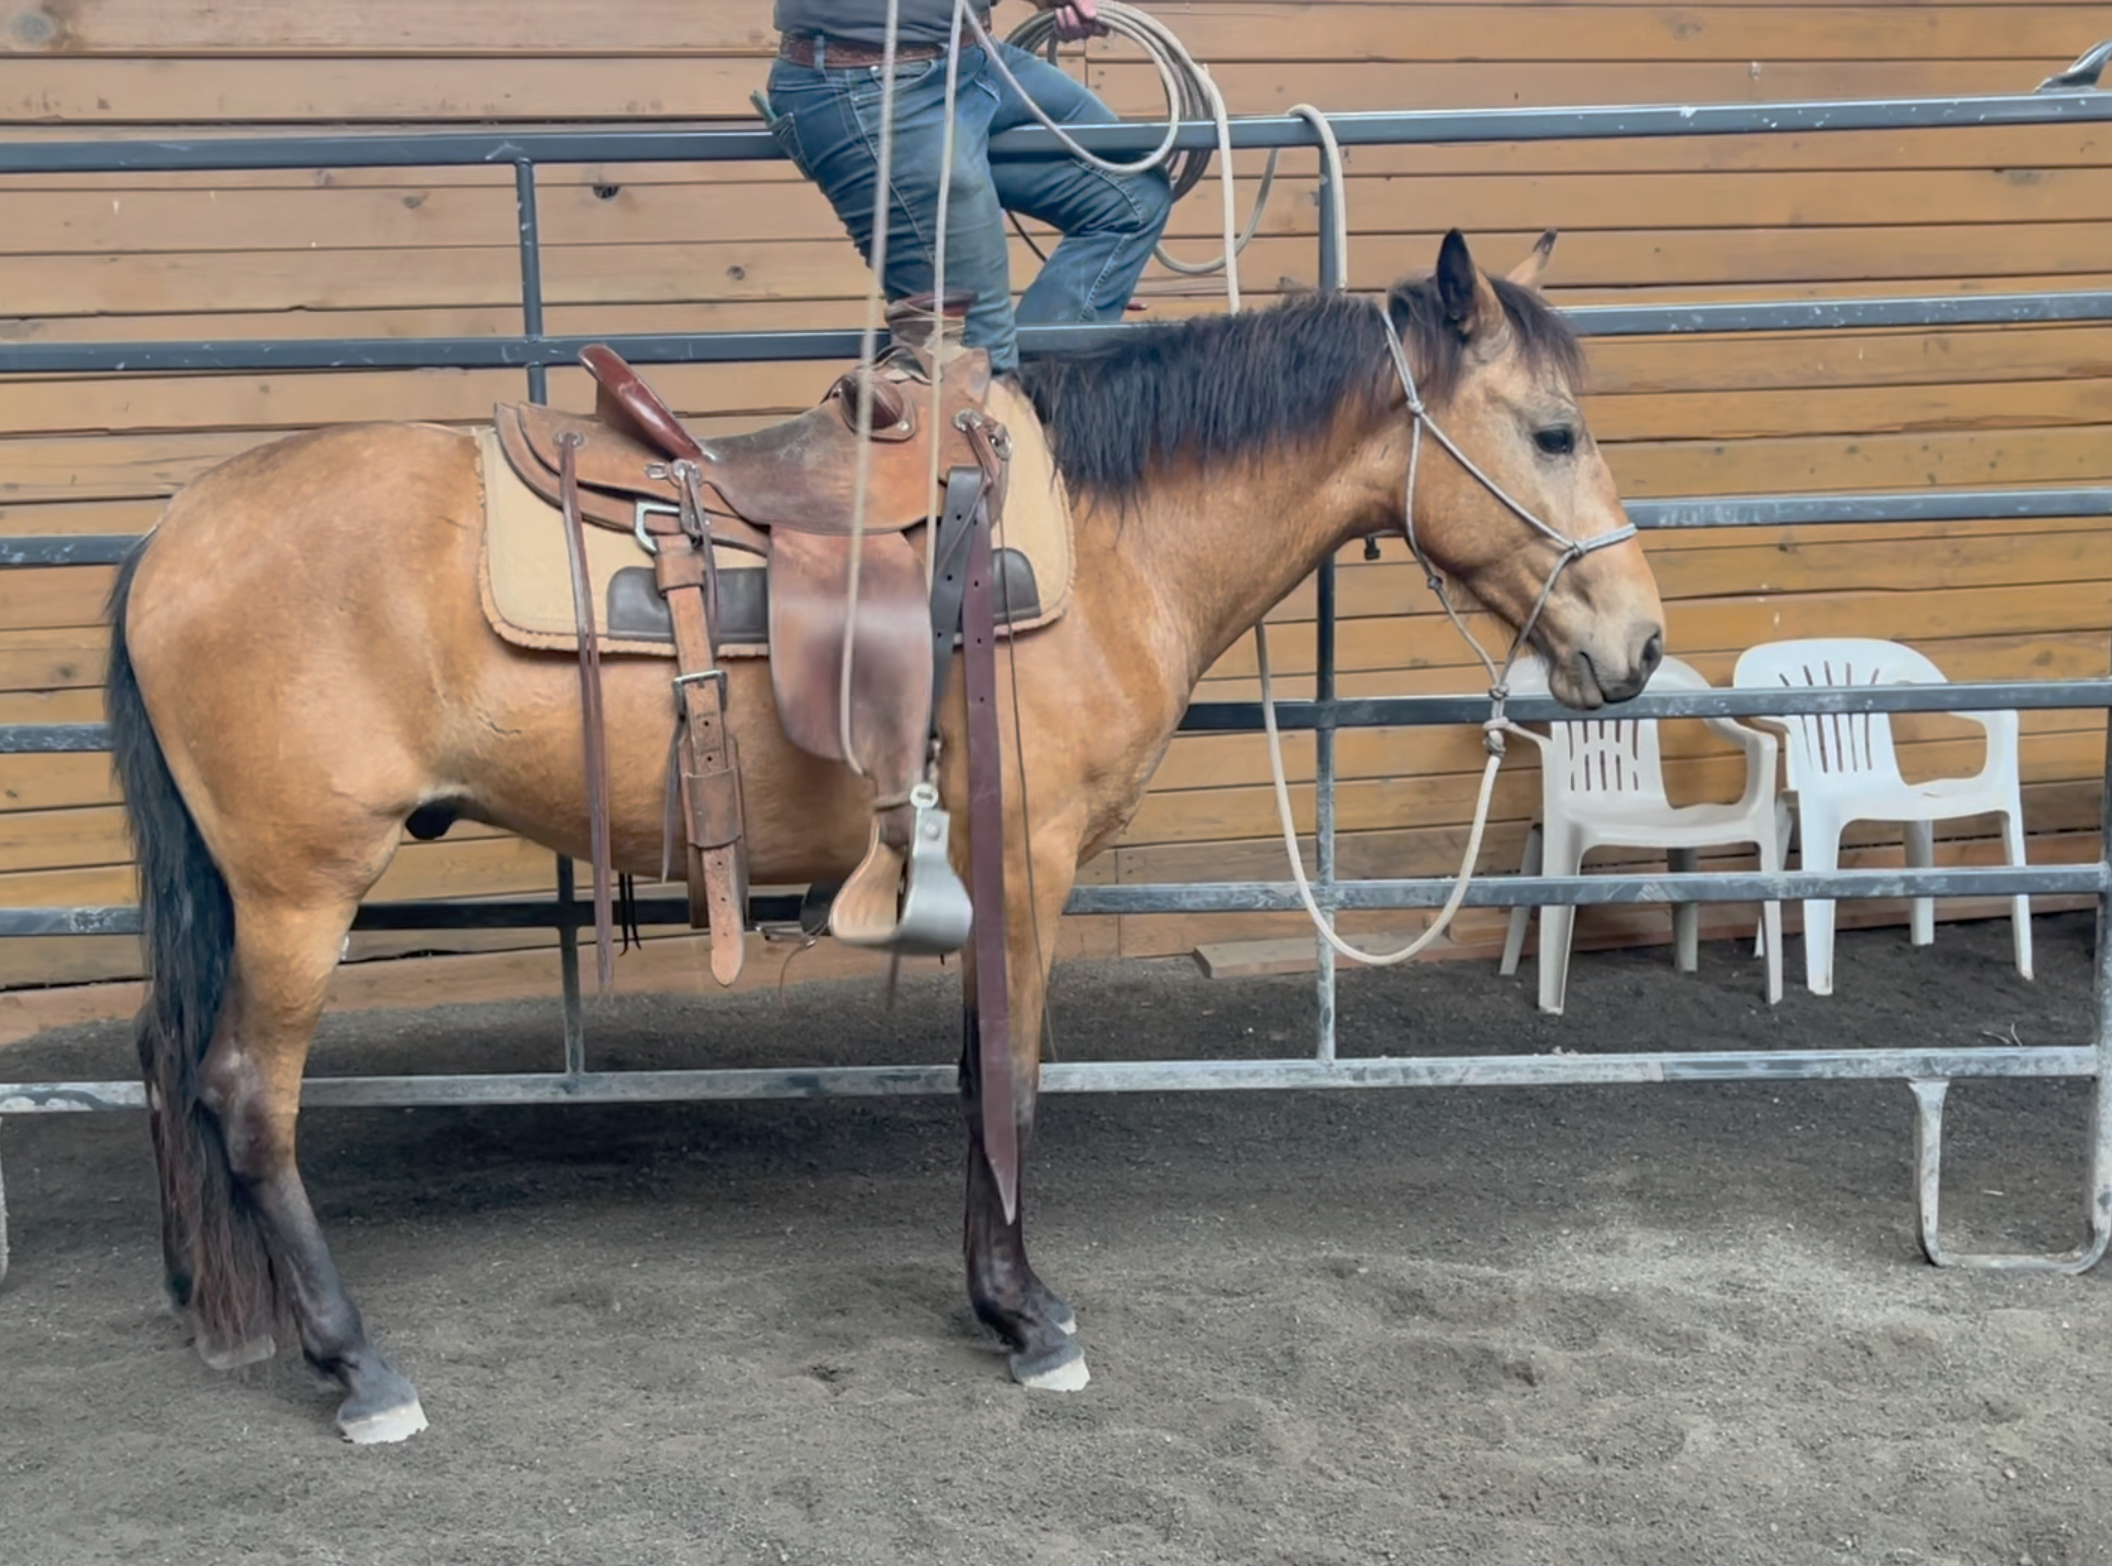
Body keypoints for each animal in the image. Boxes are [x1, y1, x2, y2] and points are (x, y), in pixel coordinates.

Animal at [102, 226, 1664, 1437]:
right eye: (1554, 431)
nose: (1639, 648)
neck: (1105, 535)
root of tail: (176, 533)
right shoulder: (1029, 858)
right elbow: (1011, 1082)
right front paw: (1030, 1320)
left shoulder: (987, 866)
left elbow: (980, 1072)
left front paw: (999, 1300)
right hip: (299, 888)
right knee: (247, 1094)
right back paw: (357, 1364)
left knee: (178, 1063)